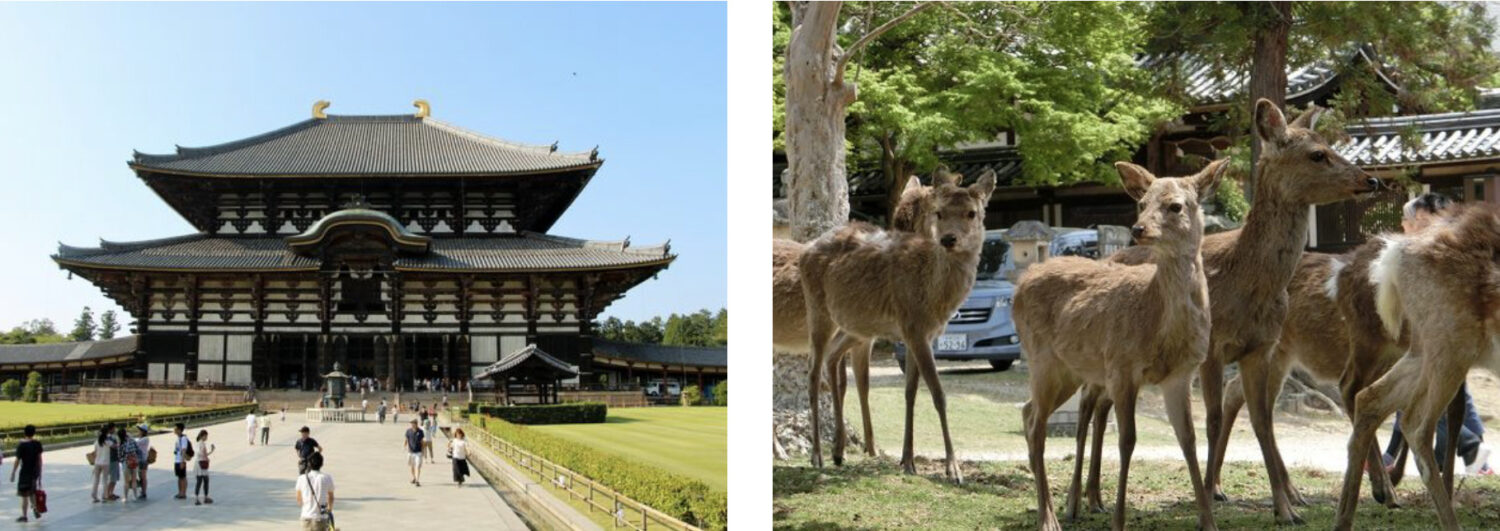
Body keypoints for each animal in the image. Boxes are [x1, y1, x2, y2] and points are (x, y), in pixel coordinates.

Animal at [780, 174, 942, 465]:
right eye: (936, 210)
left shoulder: (870, 337)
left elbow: (866, 384)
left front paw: (876, 450)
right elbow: (847, 380)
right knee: (811, 374)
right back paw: (814, 455)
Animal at [798, 170, 996, 480]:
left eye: (971, 212)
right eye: (939, 212)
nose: (949, 239)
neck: (934, 296)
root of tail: (804, 254)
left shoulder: (920, 333)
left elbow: (910, 392)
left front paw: (908, 461)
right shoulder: (913, 325)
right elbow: (938, 393)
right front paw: (953, 470)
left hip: (852, 325)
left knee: (832, 359)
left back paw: (838, 452)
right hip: (818, 310)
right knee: (812, 373)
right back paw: (817, 456)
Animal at [1020, 160, 1230, 531]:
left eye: (1175, 206)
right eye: (1142, 202)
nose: (1138, 229)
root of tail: (1018, 284)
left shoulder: (1180, 375)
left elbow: (1188, 440)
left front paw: (1208, 521)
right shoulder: (1121, 368)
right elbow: (1127, 440)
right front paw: (1119, 519)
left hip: (1069, 372)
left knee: (1028, 411)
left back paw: (1051, 509)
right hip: (1042, 359)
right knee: (1036, 425)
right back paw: (1048, 518)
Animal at [1068, 98, 1380, 522]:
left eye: (1330, 145)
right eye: (1318, 154)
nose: (1370, 180)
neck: (1247, 282)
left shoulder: (1261, 348)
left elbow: (1262, 419)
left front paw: (1285, 508)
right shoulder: (1212, 349)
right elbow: (1213, 421)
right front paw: (1206, 493)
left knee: (1101, 405)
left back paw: (1095, 497)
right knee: (1087, 403)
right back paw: (1074, 502)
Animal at [1332, 204, 1500, 531]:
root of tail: (1394, 255)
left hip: (1424, 350)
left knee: (1368, 397)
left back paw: (1351, 515)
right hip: (1451, 345)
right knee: (1416, 424)